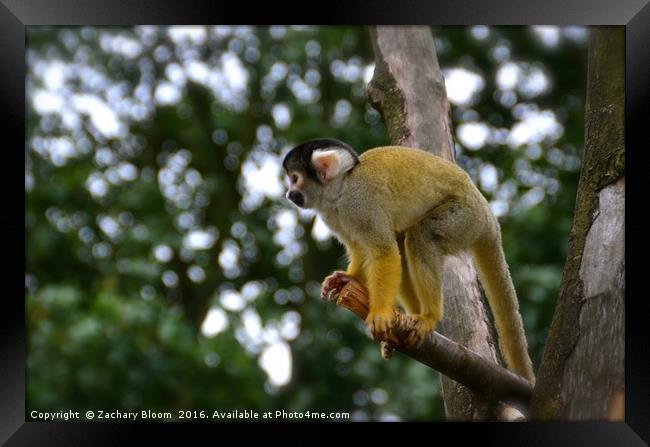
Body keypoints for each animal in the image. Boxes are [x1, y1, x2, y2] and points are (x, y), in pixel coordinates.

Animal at [282, 138, 532, 384]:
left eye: (294, 179)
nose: (289, 194)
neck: (340, 190)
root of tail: (490, 218)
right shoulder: (333, 215)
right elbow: (362, 250)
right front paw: (348, 278)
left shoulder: (360, 203)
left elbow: (383, 251)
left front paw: (380, 312)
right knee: (402, 242)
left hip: (465, 218)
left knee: (421, 237)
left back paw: (429, 316)